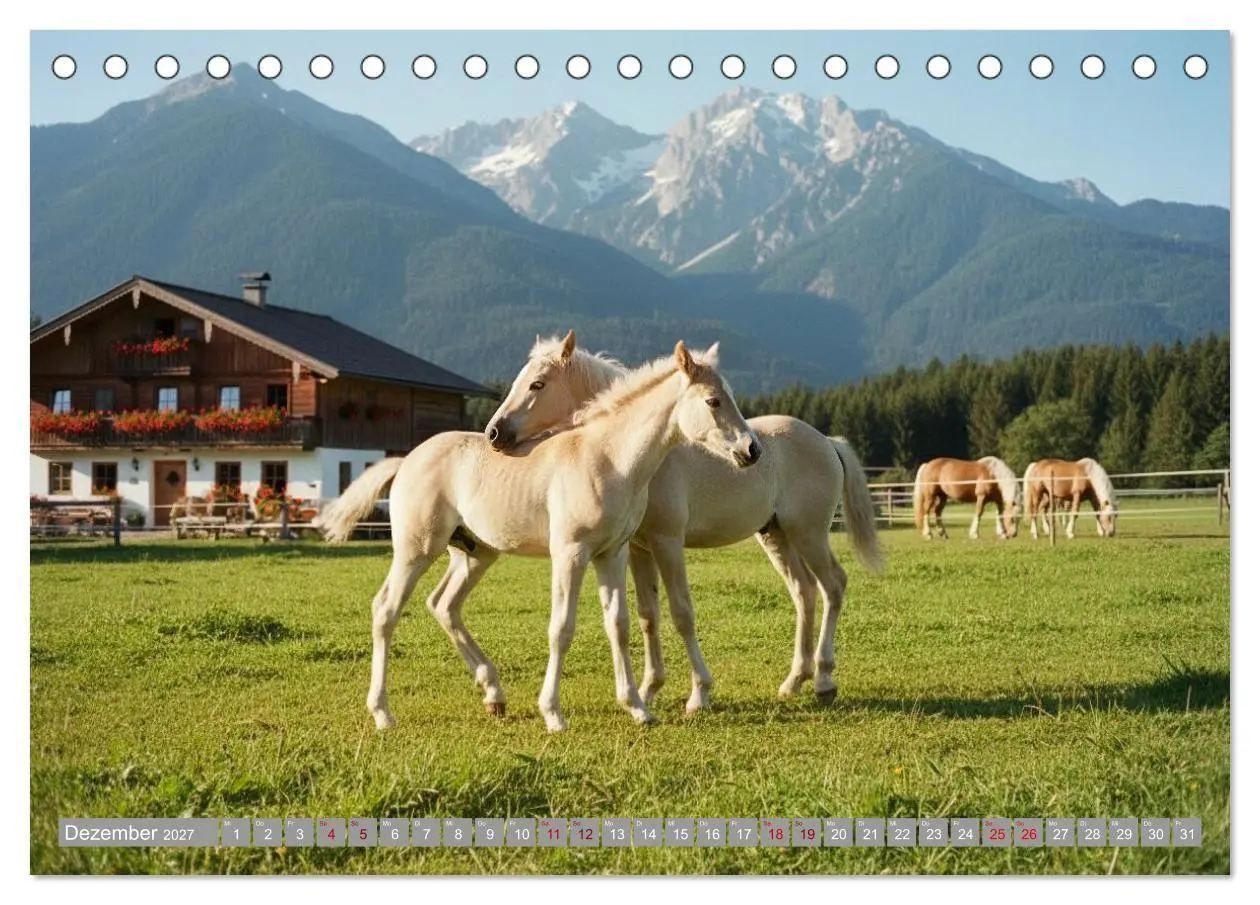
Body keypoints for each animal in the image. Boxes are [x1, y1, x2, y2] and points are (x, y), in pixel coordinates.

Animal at [315, 342, 758, 733]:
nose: (751, 449)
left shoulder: (612, 553)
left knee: (443, 604)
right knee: (386, 609)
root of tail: (407, 459)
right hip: (416, 549)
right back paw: (382, 713)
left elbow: (619, 624)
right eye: (713, 401)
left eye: (536, 384)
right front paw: (553, 714)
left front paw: (637, 707)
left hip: (475, 553)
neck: (607, 457)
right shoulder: (571, 552)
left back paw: (493, 693)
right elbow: (561, 628)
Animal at [482, 331, 883, 711]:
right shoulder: (638, 548)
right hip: (776, 537)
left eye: (537, 384)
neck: (639, 456)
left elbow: (681, 613)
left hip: (809, 534)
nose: (494, 433)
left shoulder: (667, 541)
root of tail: (827, 442)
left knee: (833, 585)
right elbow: (648, 615)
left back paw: (824, 679)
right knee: (804, 592)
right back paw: (794, 680)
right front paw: (648, 688)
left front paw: (698, 694)